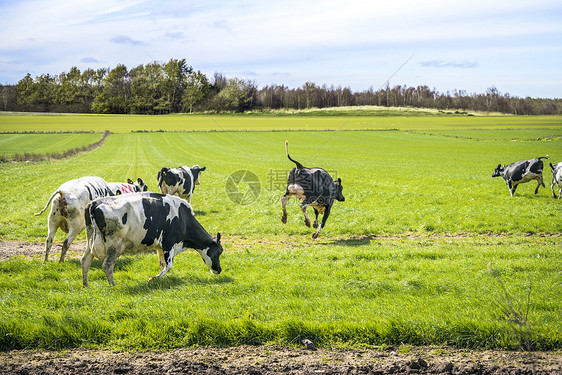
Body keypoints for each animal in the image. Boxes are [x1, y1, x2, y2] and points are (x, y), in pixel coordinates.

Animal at [81, 194, 223, 288]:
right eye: (220, 251)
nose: (219, 269)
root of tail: (95, 203)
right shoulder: (168, 243)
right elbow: (169, 266)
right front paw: (151, 279)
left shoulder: (160, 247)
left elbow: (162, 264)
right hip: (114, 245)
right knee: (107, 265)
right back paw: (113, 286)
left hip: (90, 240)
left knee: (85, 260)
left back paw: (86, 285)